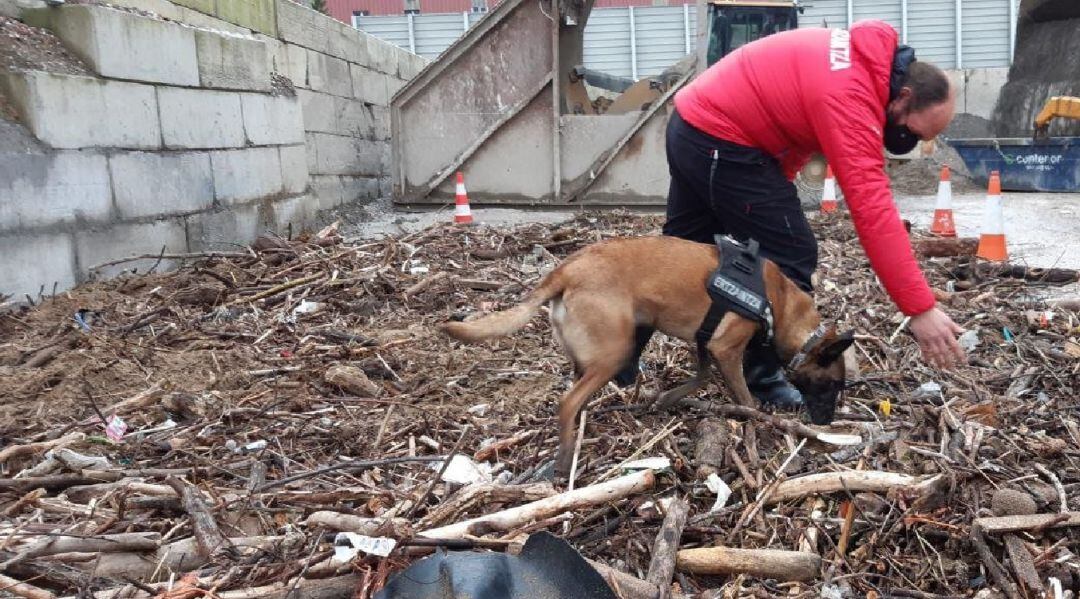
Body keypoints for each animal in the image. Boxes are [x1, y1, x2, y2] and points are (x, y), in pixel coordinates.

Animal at [436, 234, 851, 479]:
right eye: (831, 384)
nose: (826, 422)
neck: (777, 300)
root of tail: (566, 269)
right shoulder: (726, 349)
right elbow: (746, 400)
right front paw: (754, 433)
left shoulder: (705, 344)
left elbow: (699, 376)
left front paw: (666, 399)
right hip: (613, 352)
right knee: (567, 403)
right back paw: (565, 459)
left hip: (591, 357)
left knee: (575, 396)